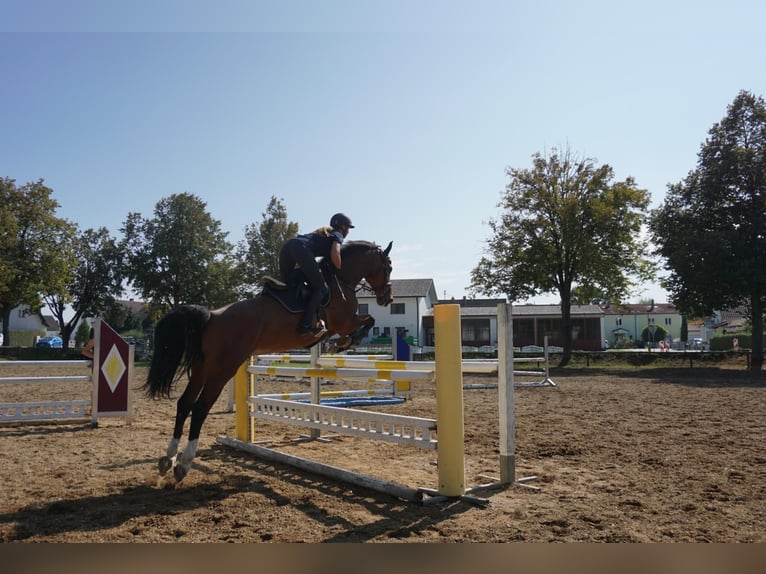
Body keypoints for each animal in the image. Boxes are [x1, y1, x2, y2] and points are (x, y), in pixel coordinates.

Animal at [143, 240, 393, 484]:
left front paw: (340, 343)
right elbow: (368, 320)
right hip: (222, 369)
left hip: (201, 368)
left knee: (184, 403)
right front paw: (343, 342)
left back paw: (168, 458)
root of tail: (212, 316)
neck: (341, 279)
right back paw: (184, 464)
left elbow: (367, 321)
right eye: (388, 267)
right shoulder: (344, 321)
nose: (387, 298)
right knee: (199, 408)